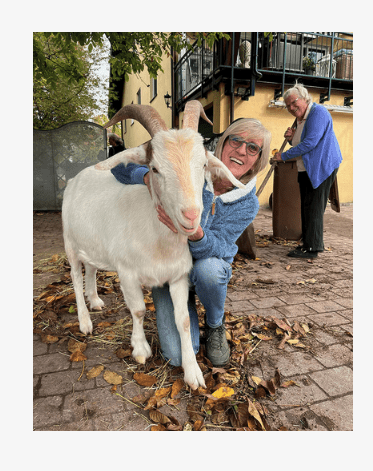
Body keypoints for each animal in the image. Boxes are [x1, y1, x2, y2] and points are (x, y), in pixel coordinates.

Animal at [61, 100, 244, 390]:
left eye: (204, 164)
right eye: (155, 168)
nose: (190, 215)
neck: (159, 242)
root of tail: (76, 178)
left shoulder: (179, 276)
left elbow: (183, 320)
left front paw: (193, 373)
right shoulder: (127, 273)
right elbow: (137, 310)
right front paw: (140, 349)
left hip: (93, 244)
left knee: (90, 269)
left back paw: (96, 300)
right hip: (69, 242)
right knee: (75, 278)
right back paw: (84, 321)